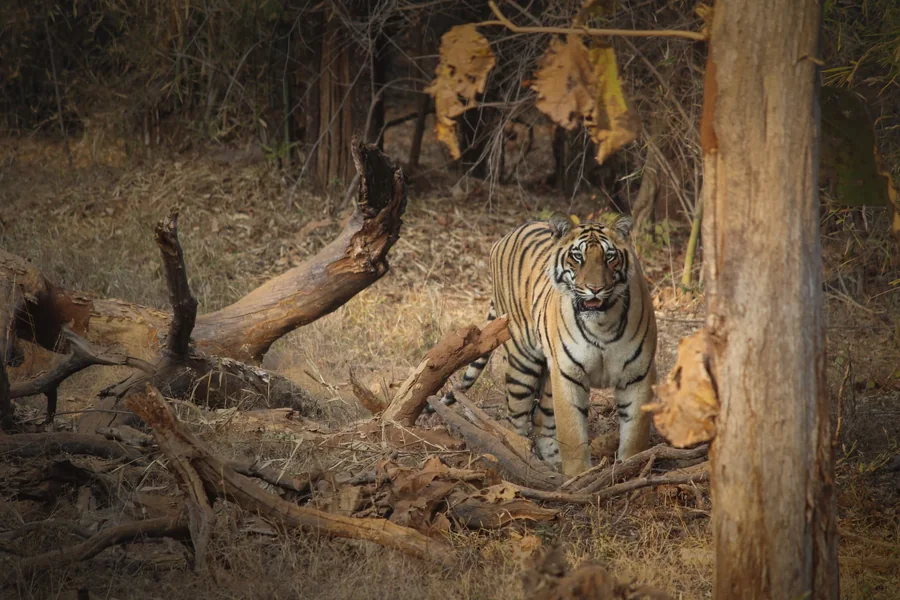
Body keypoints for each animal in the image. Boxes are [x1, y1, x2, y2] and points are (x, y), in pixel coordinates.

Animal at [432, 213, 657, 477]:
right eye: (578, 257)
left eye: (610, 257)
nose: (595, 289)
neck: (602, 324)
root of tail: (507, 234)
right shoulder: (568, 374)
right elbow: (572, 432)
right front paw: (578, 476)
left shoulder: (637, 374)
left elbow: (635, 433)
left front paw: (632, 468)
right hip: (522, 363)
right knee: (515, 419)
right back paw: (524, 462)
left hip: (549, 373)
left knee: (540, 418)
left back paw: (551, 462)